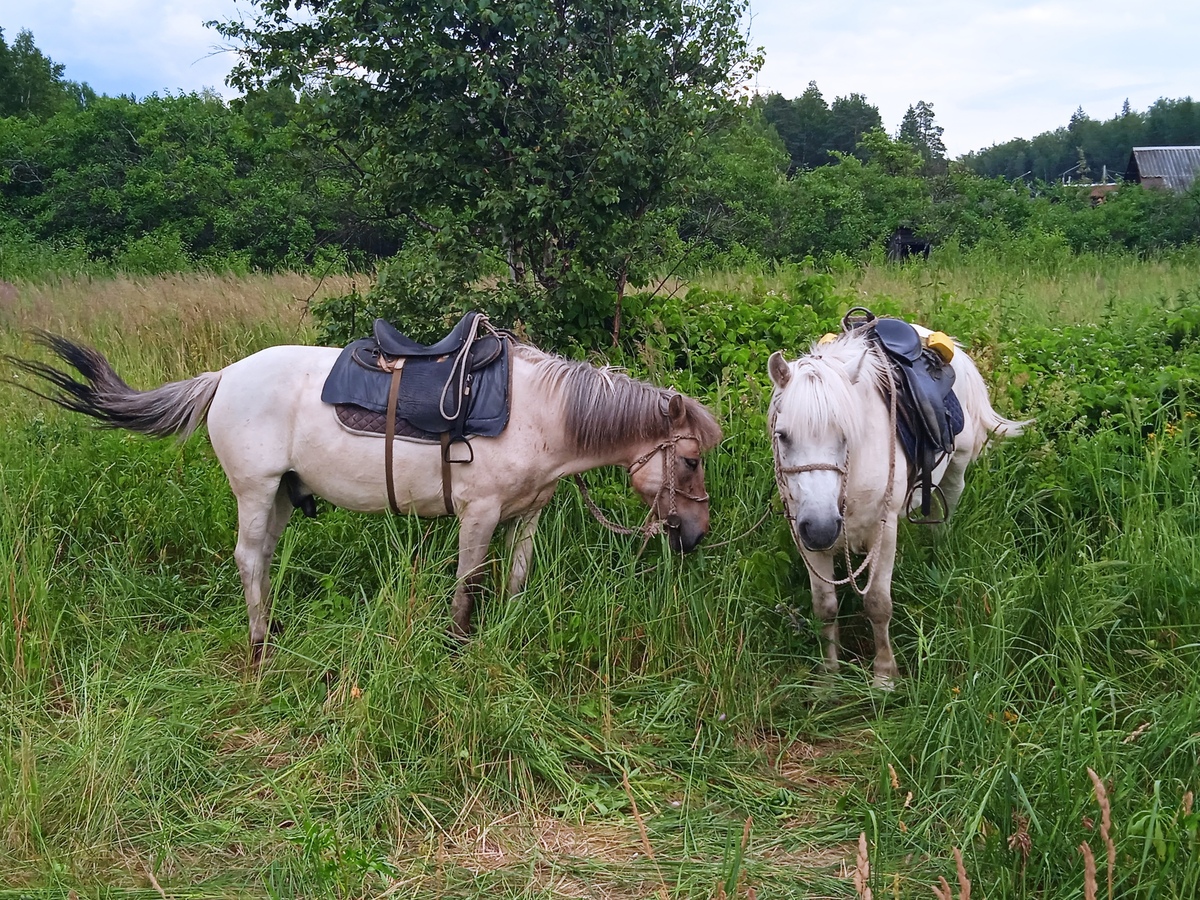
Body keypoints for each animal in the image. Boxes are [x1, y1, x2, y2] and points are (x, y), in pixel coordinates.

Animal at [11, 336, 720, 657]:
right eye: (689, 459)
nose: (695, 534)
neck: (541, 415)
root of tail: (223, 377)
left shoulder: (528, 514)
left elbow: (515, 581)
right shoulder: (480, 513)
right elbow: (468, 585)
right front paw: (457, 648)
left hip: (279, 495)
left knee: (263, 557)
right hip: (254, 489)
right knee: (247, 557)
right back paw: (260, 644)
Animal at [772, 328, 1027, 686]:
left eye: (846, 434)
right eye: (783, 436)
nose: (822, 529)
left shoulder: (883, 529)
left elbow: (878, 604)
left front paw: (883, 676)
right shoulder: (805, 532)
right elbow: (824, 607)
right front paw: (828, 677)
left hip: (957, 467)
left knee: (944, 511)